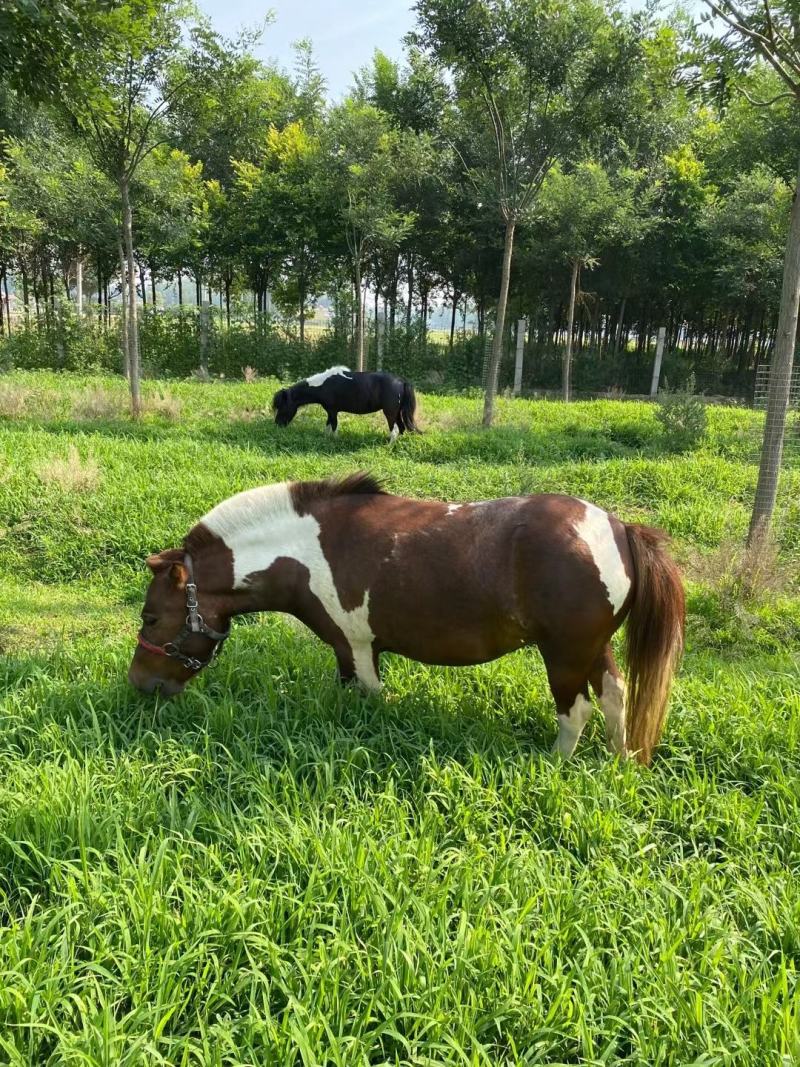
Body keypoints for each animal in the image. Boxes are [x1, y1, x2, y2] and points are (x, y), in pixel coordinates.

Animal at [129, 473, 685, 764]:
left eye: (151, 618)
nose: (139, 685)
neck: (304, 549)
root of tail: (619, 529)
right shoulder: (349, 654)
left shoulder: (357, 648)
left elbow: (371, 699)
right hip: (593, 649)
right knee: (615, 698)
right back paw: (619, 761)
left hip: (565, 656)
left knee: (577, 713)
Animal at [272, 366, 419, 439]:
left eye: (282, 406)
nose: (277, 424)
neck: (323, 385)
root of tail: (401, 381)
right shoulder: (330, 411)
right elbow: (328, 425)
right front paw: (326, 438)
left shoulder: (333, 411)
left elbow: (334, 426)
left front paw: (335, 440)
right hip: (397, 413)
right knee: (401, 428)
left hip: (390, 413)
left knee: (394, 430)